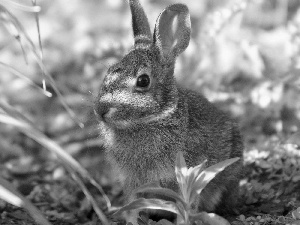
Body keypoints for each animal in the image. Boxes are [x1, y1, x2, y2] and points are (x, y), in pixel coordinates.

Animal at [94, 0, 244, 222]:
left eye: (143, 81)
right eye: (109, 71)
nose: (100, 109)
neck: (153, 118)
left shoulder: (188, 176)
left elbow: (186, 205)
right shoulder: (132, 182)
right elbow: (132, 205)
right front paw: (131, 221)